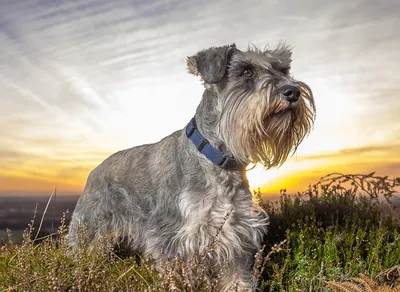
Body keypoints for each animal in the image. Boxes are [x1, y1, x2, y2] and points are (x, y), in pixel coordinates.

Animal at [69, 42, 318, 290]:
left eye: (283, 69)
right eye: (246, 71)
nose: (293, 91)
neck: (218, 161)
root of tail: (94, 171)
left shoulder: (236, 238)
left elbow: (238, 280)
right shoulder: (176, 242)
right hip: (87, 233)